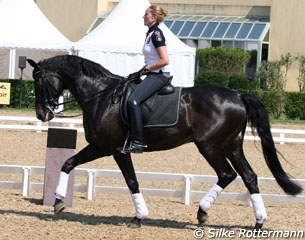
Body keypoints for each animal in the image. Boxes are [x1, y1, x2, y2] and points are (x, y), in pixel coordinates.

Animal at [27, 55, 300, 230]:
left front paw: (139, 217)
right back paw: (258, 221)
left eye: (39, 82)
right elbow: (68, 163)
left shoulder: (110, 148)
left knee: (226, 174)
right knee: (249, 176)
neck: (101, 96)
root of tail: (238, 95)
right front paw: (58, 202)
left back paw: (202, 212)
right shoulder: (105, 148)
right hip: (231, 145)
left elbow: (129, 180)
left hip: (210, 146)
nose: (42, 114)